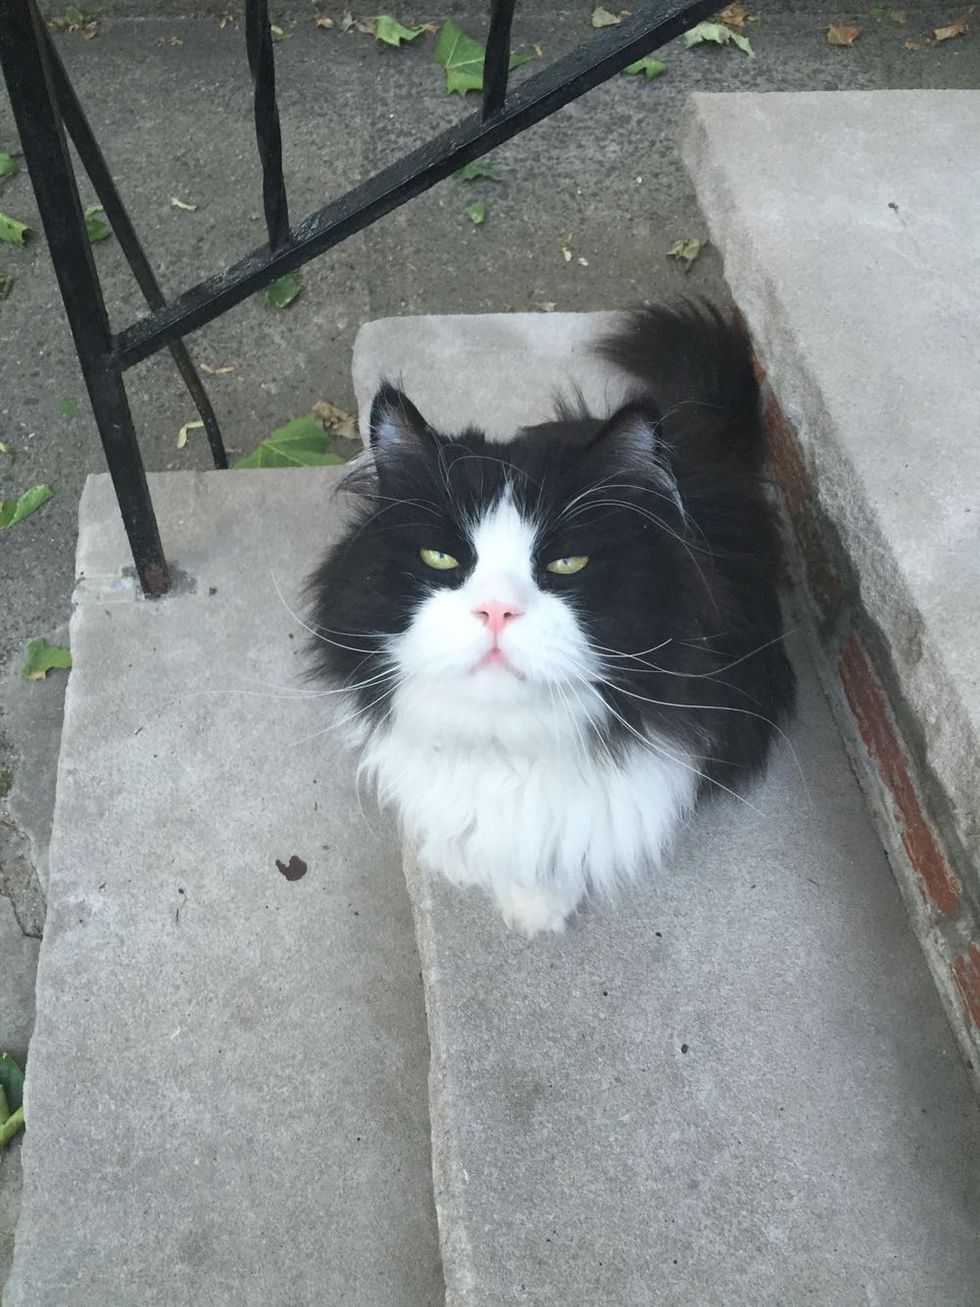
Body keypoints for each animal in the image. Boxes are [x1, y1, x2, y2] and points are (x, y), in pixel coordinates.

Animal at [307, 303, 799, 941]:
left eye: (567, 564)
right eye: (440, 558)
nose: (496, 610)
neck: (502, 744)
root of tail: (692, 430)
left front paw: (536, 906)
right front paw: (464, 860)